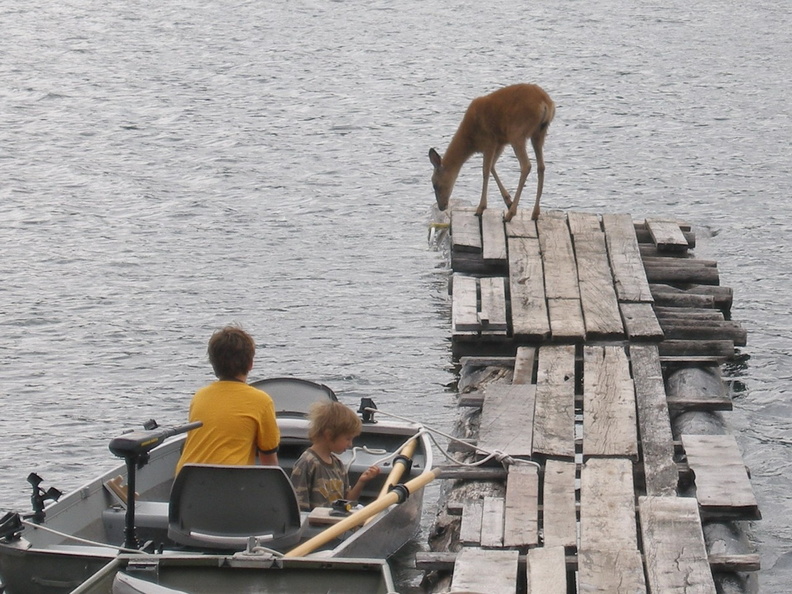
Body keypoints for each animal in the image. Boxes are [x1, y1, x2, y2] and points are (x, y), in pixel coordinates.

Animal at [430, 82, 552, 221]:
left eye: (435, 184)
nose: (442, 207)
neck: (471, 141)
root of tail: (545, 103)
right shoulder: (499, 143)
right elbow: (492, 167)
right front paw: (508, 201)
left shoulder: (489, 141)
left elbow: (485, 171)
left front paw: (481, 208)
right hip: (538, 134)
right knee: (541, 166)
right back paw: (534, 212)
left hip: (517, 134)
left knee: (526, 165)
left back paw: (510, 214)